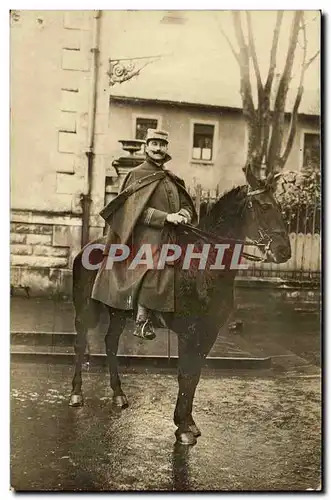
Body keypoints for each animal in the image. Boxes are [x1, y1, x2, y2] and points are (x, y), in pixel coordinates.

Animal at [69, 167, 290, 446]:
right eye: (263, 206)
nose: (284, 251)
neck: (205, 264)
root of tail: (87, 247)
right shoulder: (189, 332)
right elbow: (185, 374)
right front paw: (183, 427)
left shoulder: (208, 333)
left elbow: (194, 376)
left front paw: (189, 423)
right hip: (86, 310)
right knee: (80, 344)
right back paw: (76, 394)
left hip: (117, 312)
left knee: (110, 343)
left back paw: (118, 394)